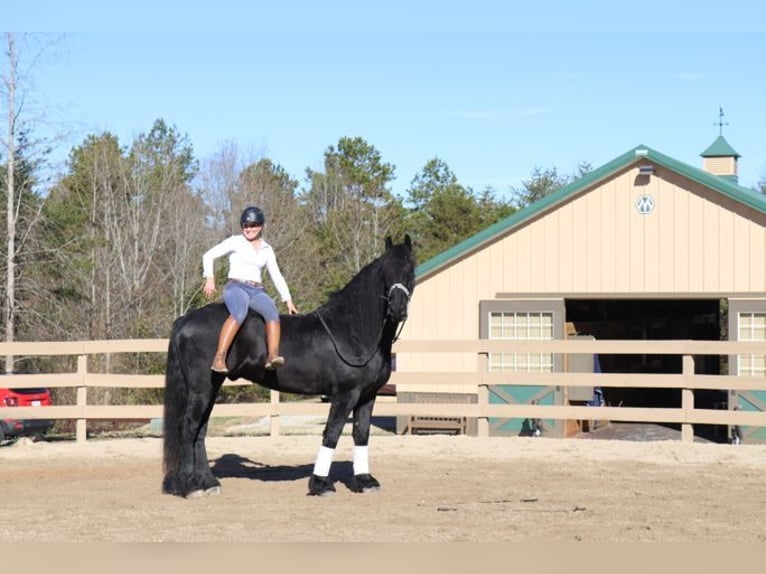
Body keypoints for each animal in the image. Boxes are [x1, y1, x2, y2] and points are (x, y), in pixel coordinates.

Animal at [160, 236, 414, 498]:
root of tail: (185, 320)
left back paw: (207, 482)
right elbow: (332, 434)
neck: (351, 330)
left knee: (200, 430)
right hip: (201, 388)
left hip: (212, 386)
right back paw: (189, 486)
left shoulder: (367, 395)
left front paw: (365, 481)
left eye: (410, 269)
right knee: (188, 427)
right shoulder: (345, 394)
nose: (397, 309)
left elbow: (361, 434)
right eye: (385, 272)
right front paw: (320, 484)